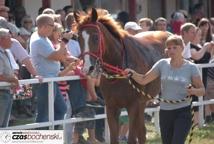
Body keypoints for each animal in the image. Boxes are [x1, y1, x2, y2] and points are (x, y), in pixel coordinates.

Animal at [74, 8, 171, 144]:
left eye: (95, 37)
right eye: (78, 38)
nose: (88, 68)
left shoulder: (133, 106)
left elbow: (131, 138)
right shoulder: (112, 107)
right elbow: (115, 138)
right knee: (142, 132)